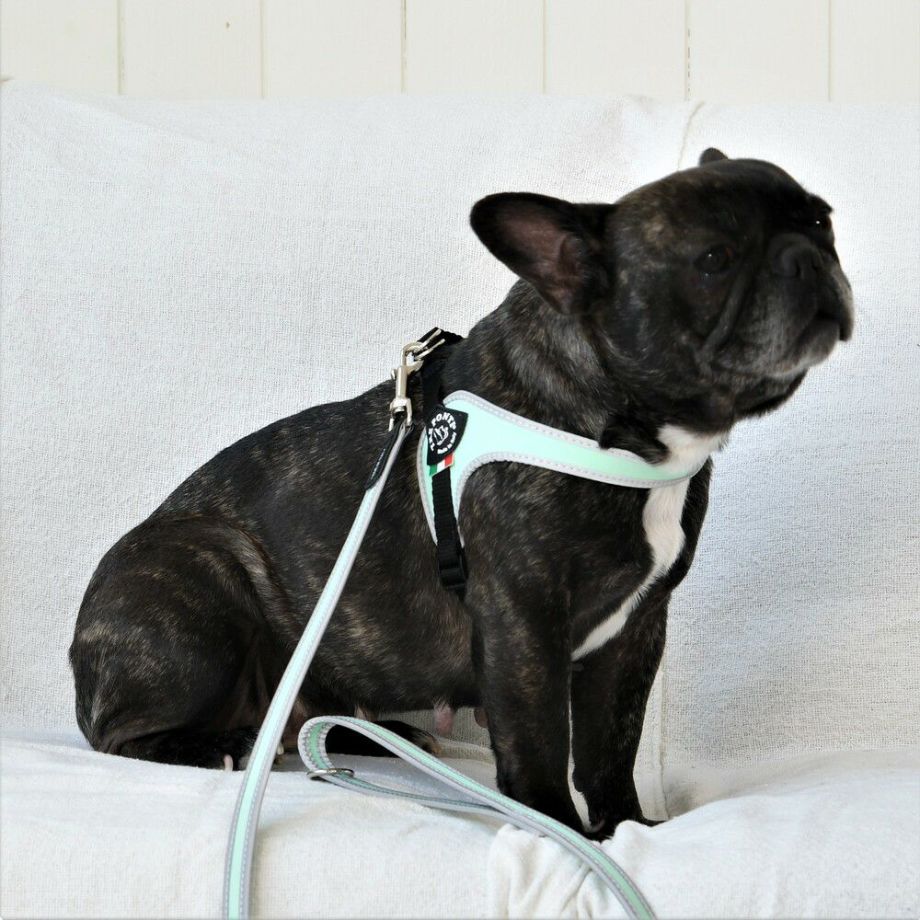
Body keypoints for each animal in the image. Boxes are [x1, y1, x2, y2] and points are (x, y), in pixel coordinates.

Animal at [70, 148, 853, 838]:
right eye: (714, 260)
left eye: (822, 220)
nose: (808, 258)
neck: (622, 427)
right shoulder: (523, 619)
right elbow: (542, 742)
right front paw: (562, 831)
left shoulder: (635, 628)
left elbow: (611, 745)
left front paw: (627, 826)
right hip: (198, 585)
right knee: (117, 734)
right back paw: (212, 746)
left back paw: (376, 737)